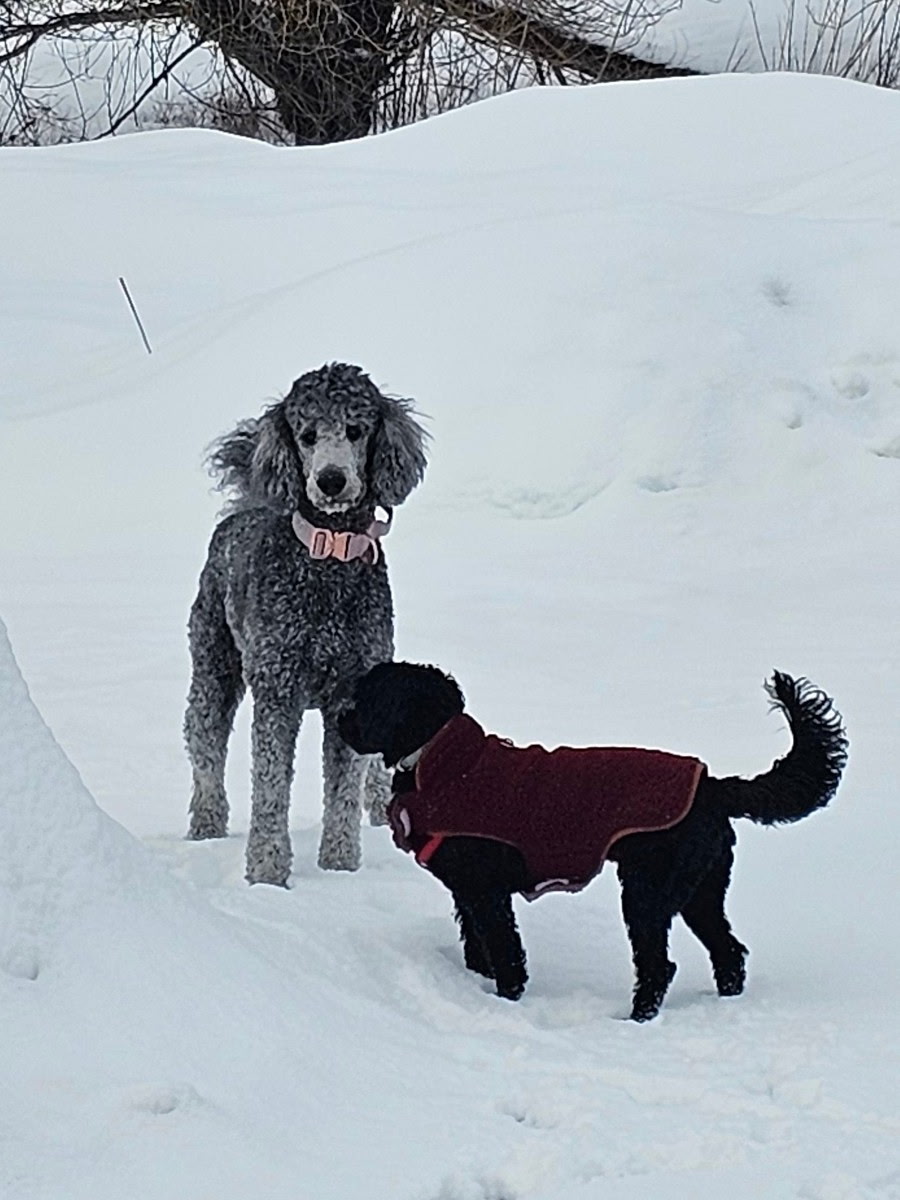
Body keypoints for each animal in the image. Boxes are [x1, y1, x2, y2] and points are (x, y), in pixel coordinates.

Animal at [184, 364, 427, 885]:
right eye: (307, 435)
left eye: (356, 429)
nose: (331, 480)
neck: (328, 557)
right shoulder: (278, 689)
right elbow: (271, 788)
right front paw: (267, 873)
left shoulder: (353, 689)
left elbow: (343, 791)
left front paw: (340, 865)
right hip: (213, 669)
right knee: (205, 751)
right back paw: (206, 826)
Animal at [337, 661, 847, 1020]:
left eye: (368, 699)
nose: (340, 718)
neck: (440, 760)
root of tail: (710, 786)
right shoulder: (467, 892)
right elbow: (476, 945)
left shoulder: (487, 893)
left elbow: (504, 952)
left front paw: (505, 1002)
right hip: (700, 891)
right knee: (729, 951)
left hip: (647, 891)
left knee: (659, 966)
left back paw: (636, 1021)